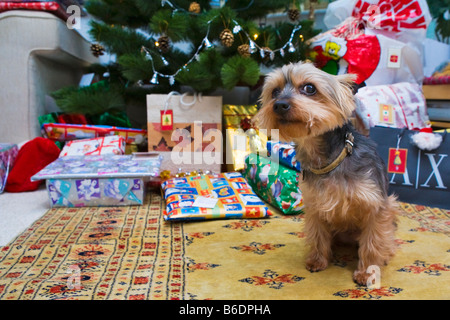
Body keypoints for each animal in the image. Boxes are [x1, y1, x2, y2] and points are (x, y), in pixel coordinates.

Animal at [255, 62, 400, 284]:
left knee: (385, 238)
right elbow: (317, 235)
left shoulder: (376, 206)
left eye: (309, 88)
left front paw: (367, 272)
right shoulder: (315, 205)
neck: (326, 158)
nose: (279, 104)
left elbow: (372, 243)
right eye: (275, 92)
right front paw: (317, 261)